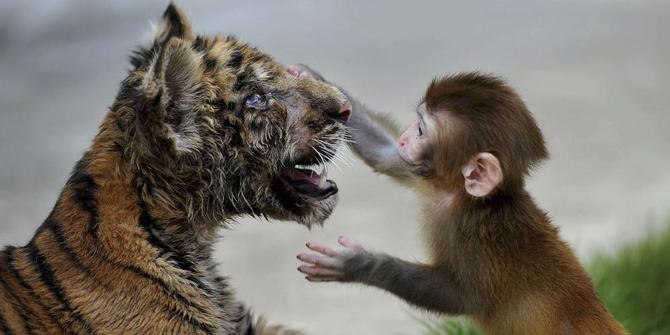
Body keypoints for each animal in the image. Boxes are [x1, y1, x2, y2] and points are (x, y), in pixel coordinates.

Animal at [292, 66, 632, 335]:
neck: (469, 200)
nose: (405, 137)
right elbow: (387, 156)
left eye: (421, 130)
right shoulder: (429, 178)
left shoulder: (475, 237)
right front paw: (310, 76)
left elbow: (460, 297)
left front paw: (357, 263)